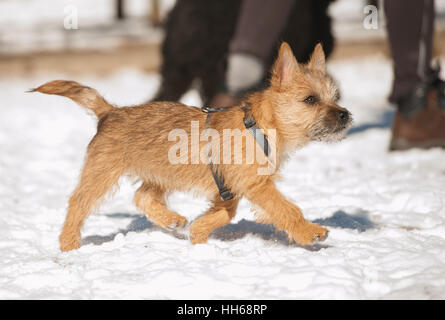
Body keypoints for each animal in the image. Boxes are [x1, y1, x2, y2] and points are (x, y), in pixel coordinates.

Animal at [31, 43, 350, 252]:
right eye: (310, 100)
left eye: (334, 97)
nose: (345, 115)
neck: (260, 126)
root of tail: (111, 112)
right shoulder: (257, 185)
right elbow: (286, 208)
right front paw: (310, 232)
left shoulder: (231, 188)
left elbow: (224, 214)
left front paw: (198, 235)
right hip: (101, 175)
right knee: (78, 204)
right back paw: (69, 245)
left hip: (160, 174)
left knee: (141, 197)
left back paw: (172, 219)